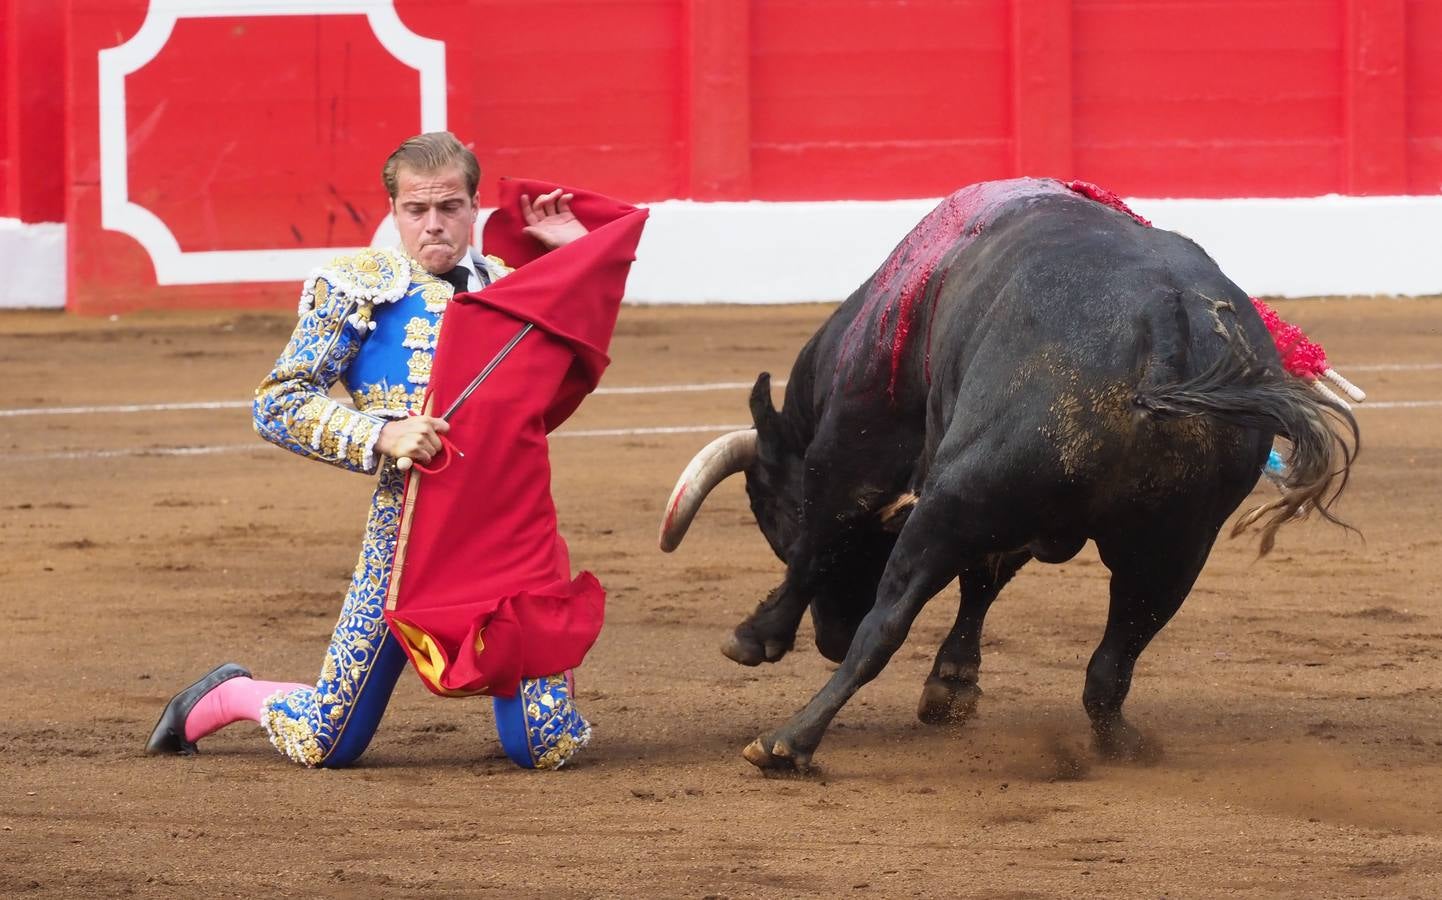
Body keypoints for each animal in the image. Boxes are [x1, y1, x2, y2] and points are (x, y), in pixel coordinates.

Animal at [660, 177, 1355, 773]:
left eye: (769, 514)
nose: (829, 636)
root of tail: (1167, 330)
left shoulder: (852, 453)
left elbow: (819, 544)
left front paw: (754, 636)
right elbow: (983, 583)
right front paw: (951, 686)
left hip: (957, 502)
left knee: (886, 625)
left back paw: (788, 741)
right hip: (1177, 545)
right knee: (1113, 661)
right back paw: (1120, 746)